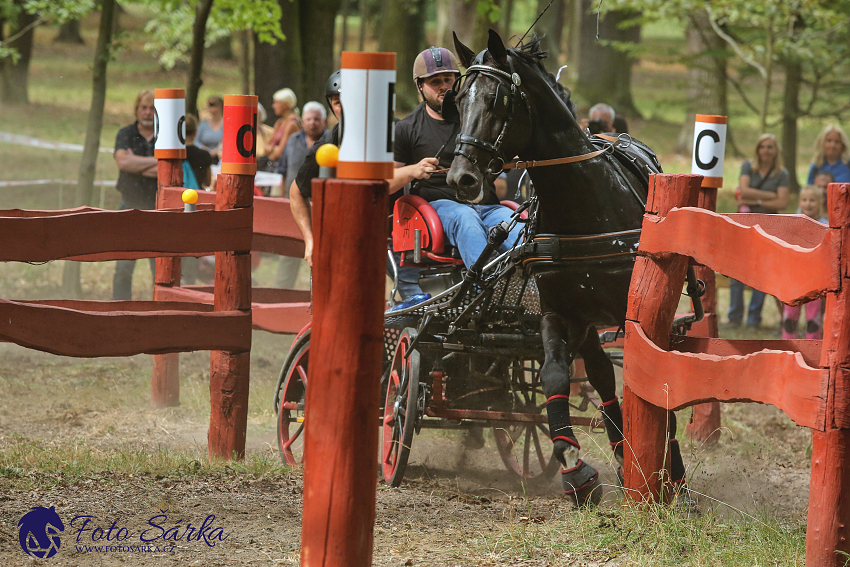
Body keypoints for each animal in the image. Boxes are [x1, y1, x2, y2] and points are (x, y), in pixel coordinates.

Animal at [448, 30, 684, 506]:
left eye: (497, 100)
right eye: (459, 99)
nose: (461, 177)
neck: (583, 202)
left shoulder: (631, 315)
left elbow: (649, 380)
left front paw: (666, 474)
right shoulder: (560, 311)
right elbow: (554, 373)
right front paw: (575, 467)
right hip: (589, 321)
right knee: (601, 375)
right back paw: (618, 452)